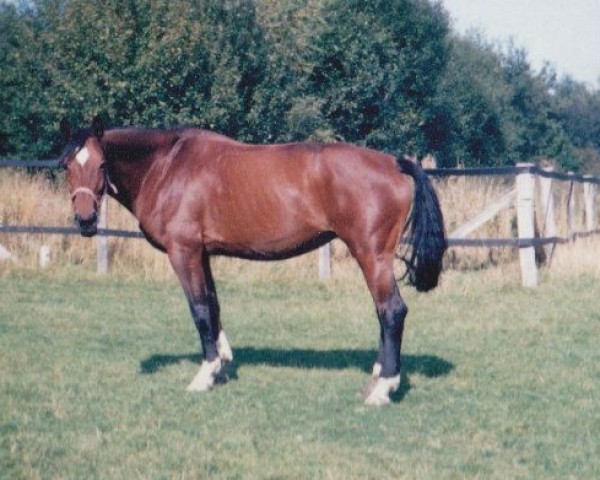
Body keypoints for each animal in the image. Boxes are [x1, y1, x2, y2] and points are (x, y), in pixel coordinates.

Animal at [59, 116, 446, 404]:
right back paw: (376, 379)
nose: (85, 219)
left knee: (391, 311)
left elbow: (200, 309)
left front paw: (204, 375)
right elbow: (213, 305)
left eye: (102, 164)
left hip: (371, 254)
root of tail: (395, 164)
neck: (167, 165)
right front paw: (222, 364)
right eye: (66, 166)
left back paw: (384, 389)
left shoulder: (184, 251)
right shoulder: (203, 253)